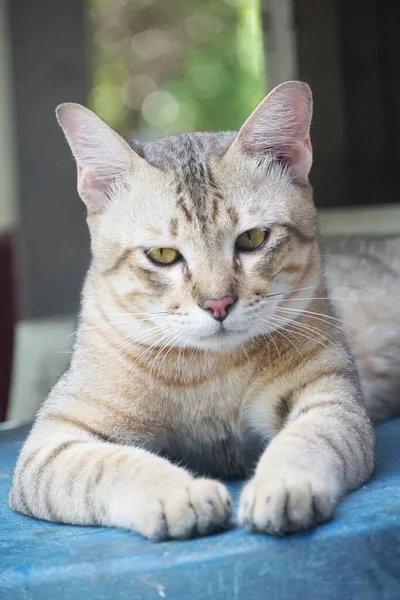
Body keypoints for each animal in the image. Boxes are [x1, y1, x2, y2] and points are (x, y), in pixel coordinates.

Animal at [10, 82, 388, 540]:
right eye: (163, 255)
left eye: (253, 239)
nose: (218, 303)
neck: (210, 372)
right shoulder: (54, 440)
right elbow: (110, 465)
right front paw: (177, 492)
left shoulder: (333, 400)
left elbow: (308, 439)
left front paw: (283, 482)